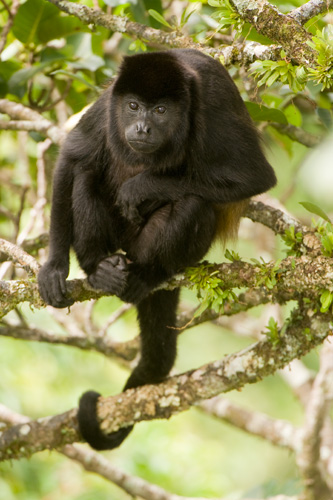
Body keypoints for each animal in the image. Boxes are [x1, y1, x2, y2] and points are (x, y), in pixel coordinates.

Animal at [37, 48, 276, 452]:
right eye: (133, 106)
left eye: (161, 110)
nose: (142, 128)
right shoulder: (110, 103)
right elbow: (72, 157)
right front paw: (55, 267)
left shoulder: (213, 101)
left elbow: (254, 176)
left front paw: (142, 187)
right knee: (86, 173)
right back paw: (97, 268)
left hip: (151, 247)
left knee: (194, 203)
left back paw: (147, 276)